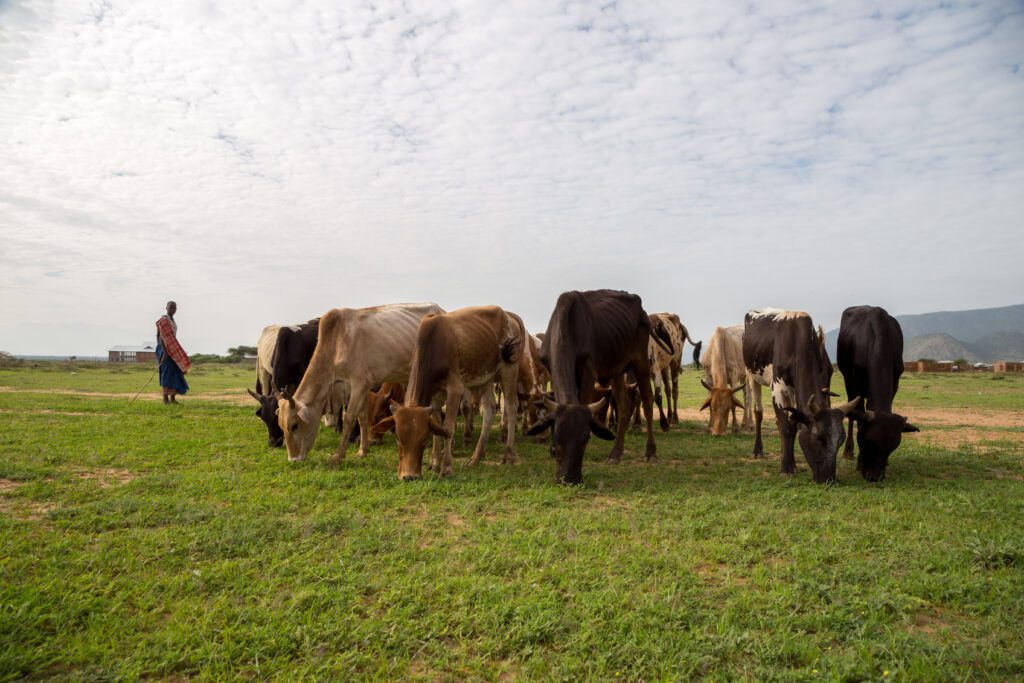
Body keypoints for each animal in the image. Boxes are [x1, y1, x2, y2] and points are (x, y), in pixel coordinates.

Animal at [277, 303, 445, 463]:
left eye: (294, 426)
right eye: (281, 426)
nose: (293, 459)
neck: (337, 343)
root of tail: (440, 310)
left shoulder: (358, 383)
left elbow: (349, 419)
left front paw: (337, 456)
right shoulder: (361, 387)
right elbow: (362, 417)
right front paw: (363, 451)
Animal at [372, 306, 526, 481]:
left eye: (423, 440)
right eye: (398, 438)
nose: (409, 476)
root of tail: (509, 315)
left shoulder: (455, 389)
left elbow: (447, 428)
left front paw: (446, 468)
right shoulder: (435, 395)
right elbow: (437, 425)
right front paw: (434, 463)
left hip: (509, 370)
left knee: (511, 407)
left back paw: (508, 455)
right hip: (486, 378)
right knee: (489, 410)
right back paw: (476, 457)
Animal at [527, 289, 673, 485]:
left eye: (585, 439)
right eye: (556, 439)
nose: (569, 479)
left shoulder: (590, 373)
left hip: (641, 360)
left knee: (648, 402)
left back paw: (650, 452)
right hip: (617, 370)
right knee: (624, 406)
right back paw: (616, 453)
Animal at [743, 308, 859, 483]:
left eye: (841, 440)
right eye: (818, 438)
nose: (829, 479)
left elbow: (793, 423)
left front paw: (791, 463)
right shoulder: (777, 388)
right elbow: (786, 427)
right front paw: (786, 468)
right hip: (752, 376)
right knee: (759, 412)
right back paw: (757, 450)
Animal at [836, 305, 920, 481]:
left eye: (891, 448)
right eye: (867, 442)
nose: (874, 476)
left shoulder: (895, 381)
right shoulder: (855, 384)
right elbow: (858, 418)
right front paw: (859, 462)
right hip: (849, 383)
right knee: (851, 415)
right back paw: (848, 451)